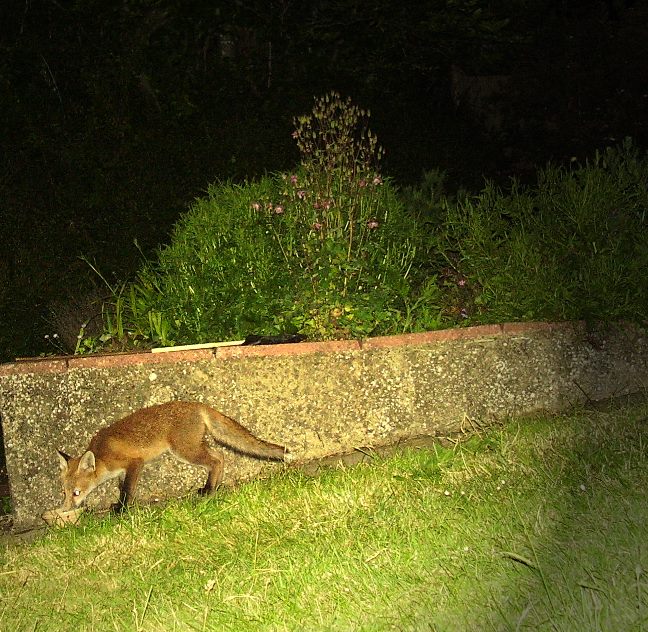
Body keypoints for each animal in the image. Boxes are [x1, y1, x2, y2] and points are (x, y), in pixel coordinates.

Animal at [55, 400, 288, 512]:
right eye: (64, 493)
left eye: (76, 493)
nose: (66, 509)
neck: (102, 456)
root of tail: (196, 404)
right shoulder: (121, 472)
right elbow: (122, 488)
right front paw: (118, 505)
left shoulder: (134, 463)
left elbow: (128, 491)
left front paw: (121, 510)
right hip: (193, 447)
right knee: (220, 455)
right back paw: (214, 486)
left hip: (184, 451)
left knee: (216, 459)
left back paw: (208, 489)